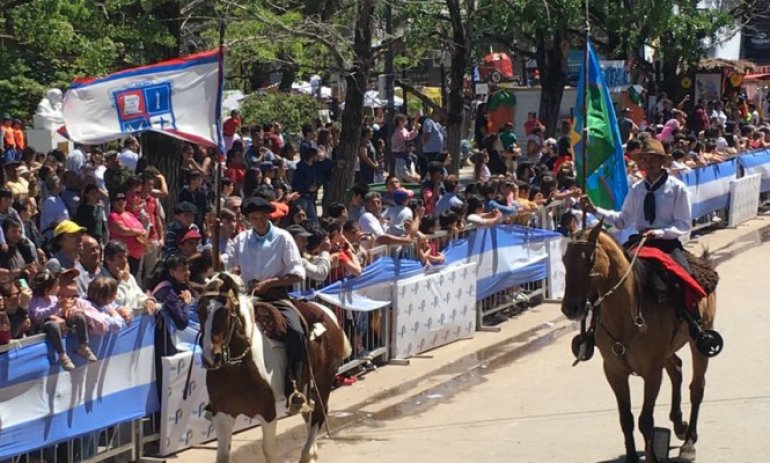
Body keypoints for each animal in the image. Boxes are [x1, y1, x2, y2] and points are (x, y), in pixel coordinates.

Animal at [195, 272, 352, 463]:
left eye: (224, 311)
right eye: (199, 311)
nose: (211, 357)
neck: (238, 368)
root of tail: (329, 314)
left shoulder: (268, 413)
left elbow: (268, 450)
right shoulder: (222, 414)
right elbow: (222, 456)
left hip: (324, 382)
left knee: (318, 414)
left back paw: (307, 454)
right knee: (310, 409)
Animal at [560, 223, 712, 462]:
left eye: (590, 259)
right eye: (565, 259)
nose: (570, 308)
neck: (627, 313)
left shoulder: (652, 372)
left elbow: (645, 421)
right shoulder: (614, 372)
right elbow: (626, 419)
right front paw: (631, 456)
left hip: (699, 344)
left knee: (697, 387)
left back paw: (689, 442)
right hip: (666, 352)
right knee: (676, 369)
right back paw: (679, 424)